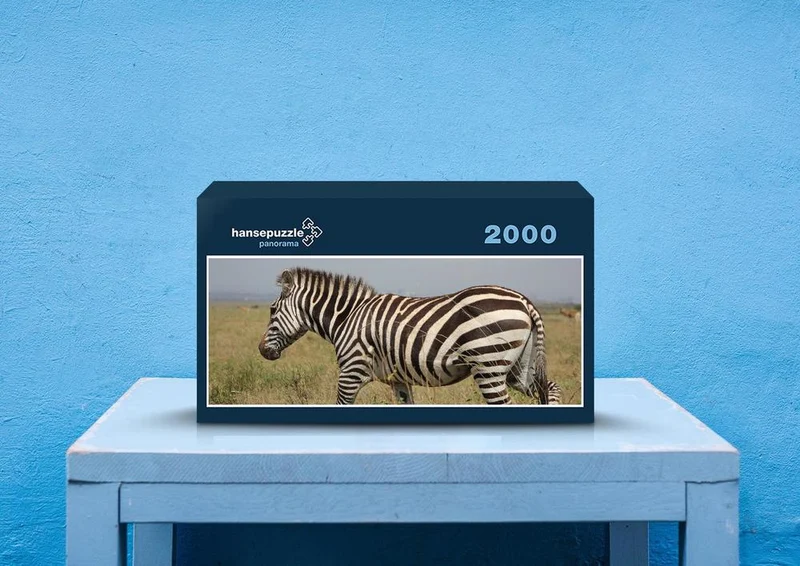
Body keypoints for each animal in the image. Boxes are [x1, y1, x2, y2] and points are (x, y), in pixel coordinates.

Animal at [258, 267, 561, 406]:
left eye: (272, 310)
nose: (261, 351)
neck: (348, 317)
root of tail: (524, 301)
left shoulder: (351, 371)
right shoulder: (398, 379)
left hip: (489, 366)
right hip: (519, 366)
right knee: (551, 388)